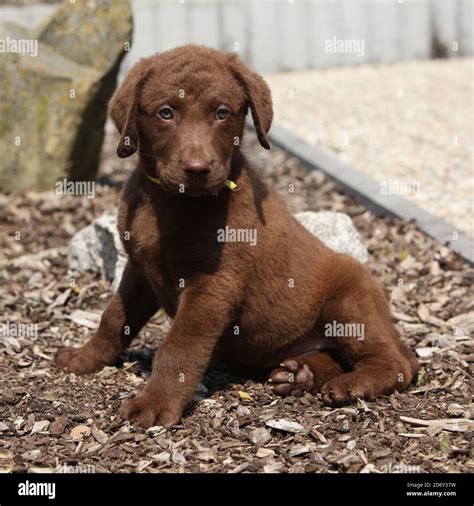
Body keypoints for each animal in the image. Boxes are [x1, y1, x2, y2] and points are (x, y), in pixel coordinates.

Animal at [55, 46, 418, 426]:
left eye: (222, 112)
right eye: (166, 113)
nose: (198, 169)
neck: (170, 201)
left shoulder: (214, 285)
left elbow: (178, 347)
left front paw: (154, 401)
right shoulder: (139, 268)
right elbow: (114, 318)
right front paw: (85, 357)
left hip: (351, 296)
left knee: (397, 363)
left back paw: (353, 383)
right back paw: (298, 375)